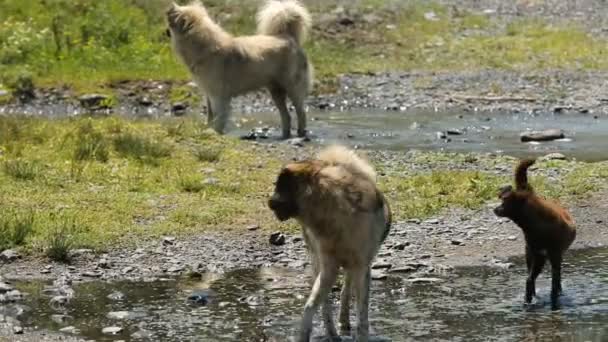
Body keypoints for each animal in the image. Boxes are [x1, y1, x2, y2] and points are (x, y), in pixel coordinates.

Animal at [268, 146, 392, 342]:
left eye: (280, 185)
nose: (269, 201)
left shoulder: (361, 267)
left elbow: (362, 314)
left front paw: (360, 334)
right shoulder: (328, 267)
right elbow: (311, 306)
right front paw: (306, 334)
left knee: (346, 290)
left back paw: (344, 322)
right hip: (320, 262)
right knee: (326, 301)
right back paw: (333, 332)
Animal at [494, 159, 576, 308]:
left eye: (504, 202)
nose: (495, 209)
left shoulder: (552, 254)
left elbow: (553, 283)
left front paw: (553, 302)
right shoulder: (537, 254)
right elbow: (530, 279)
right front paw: (528, 300)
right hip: (530, 253)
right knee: (532, 276)